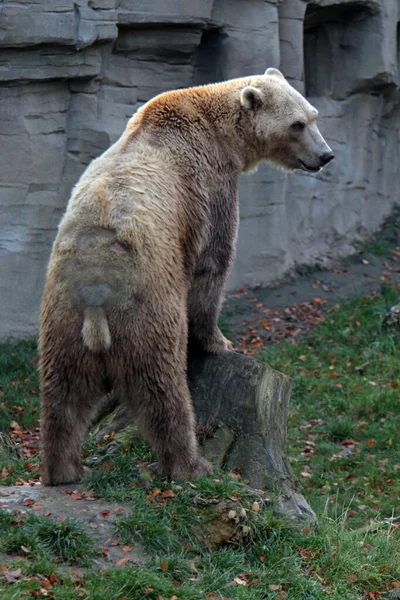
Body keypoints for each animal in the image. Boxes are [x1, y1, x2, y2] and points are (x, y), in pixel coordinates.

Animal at [39, 68, 334, 486]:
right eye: (297, 124)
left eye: (314, 115)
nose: (325, 156)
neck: (213, 125)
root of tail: (96, 298)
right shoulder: (208, 184)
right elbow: (213, 261)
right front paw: (220, 341)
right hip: (146, 305)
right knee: (162, 387)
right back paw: (190, 464)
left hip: (62, 315)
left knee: (63, 394)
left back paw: (63, 469)